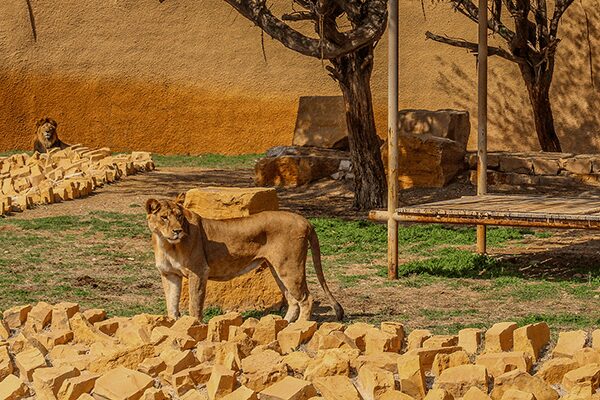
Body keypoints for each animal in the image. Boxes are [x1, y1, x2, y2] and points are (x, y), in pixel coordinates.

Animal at [145, 197, 342, 322]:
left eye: (179, 216)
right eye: (164, 217)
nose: (177, 231)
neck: (166, 244)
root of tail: (304, 220)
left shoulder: (199, 272)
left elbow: (195, 305)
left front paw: (193, 328)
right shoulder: (170, 275)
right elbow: (171, 303)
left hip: (290, 267)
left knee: (306, 299)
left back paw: (299, 327)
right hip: (277, 269)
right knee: (293, 301)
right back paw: (283, 326)